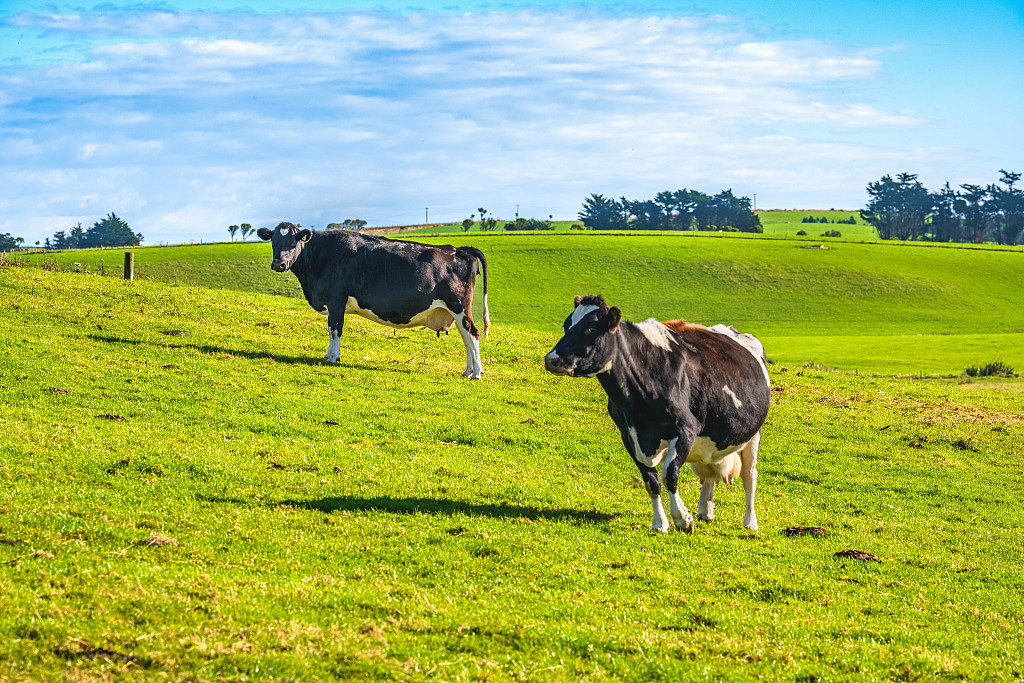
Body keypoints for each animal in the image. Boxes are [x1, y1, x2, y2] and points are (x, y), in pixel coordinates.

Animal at [257, 222, 490, 379]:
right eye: (273, 242)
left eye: (292, 242)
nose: (278, 264)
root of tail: (461, 249)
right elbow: (331, 329)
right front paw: (328, 355)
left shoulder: (336, 299)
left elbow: (335, 329)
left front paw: (334, 357)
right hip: (455, 311)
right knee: (467, 338)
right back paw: (467, 371)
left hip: (459, 306)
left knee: (473, 333)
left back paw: (477, 373)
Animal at [544, 295, 770, 533]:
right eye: (566, 325)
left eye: (590, 328)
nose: (551, 359)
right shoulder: (628, 434)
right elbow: (651, 481)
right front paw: (659, 522)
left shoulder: (687, 428)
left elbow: (669, 474)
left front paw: (682, 519)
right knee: (708, 471)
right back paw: (705, 511)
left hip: (754, 433)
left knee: (749, 475)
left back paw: (750, 522)